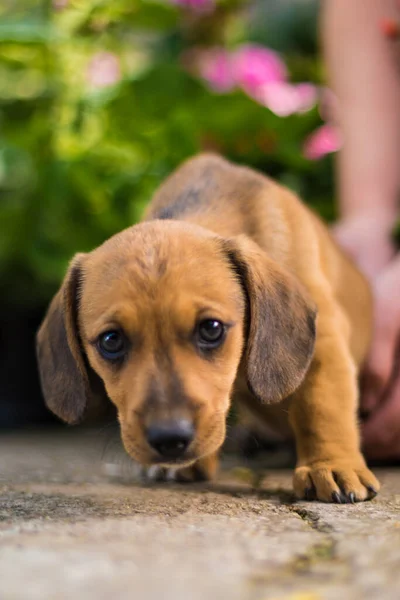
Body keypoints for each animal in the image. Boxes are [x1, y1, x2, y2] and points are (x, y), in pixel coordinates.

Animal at [37, 154, 382, 502]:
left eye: (211, 328)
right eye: (111, 340)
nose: (169, 439)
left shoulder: (324, 340)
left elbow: (322, 406)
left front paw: (331, 465)